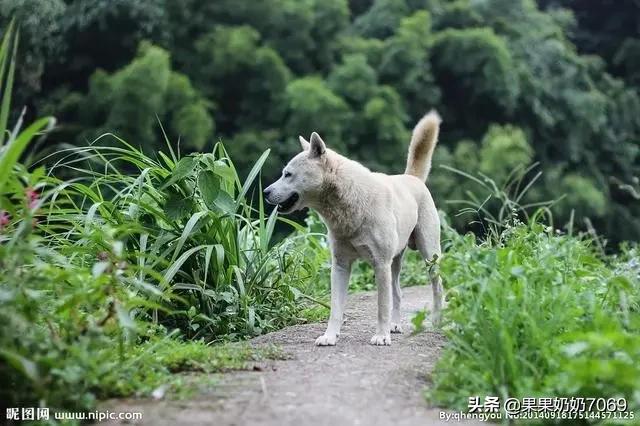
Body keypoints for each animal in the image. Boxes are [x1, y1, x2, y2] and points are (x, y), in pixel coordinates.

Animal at [262, 111, 442, 344]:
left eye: (288, 174)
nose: (265, 192)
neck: (347, 206)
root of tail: (412, 178)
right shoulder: (340, 265)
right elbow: (336, 308)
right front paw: (329, 337)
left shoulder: (380, 264)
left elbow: (381, 306)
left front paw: (381, 336)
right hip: (395, 262)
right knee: (398, 293)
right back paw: (395, 326)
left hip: (429, 254)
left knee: (437, 286)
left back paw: (437, 320)